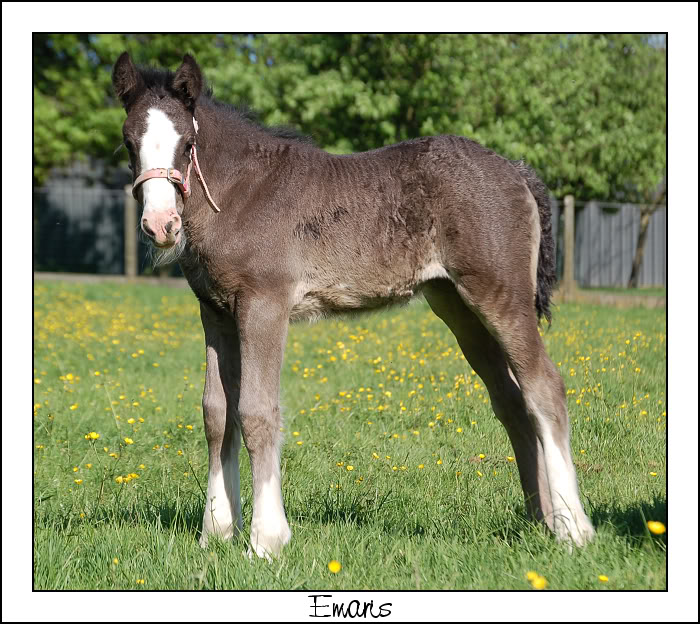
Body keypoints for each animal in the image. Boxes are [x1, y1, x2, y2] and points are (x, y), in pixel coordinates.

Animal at [112, 52, 592, 556]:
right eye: (129, 142)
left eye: (187, 144)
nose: (161, 224)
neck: (240, 192)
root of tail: (517, 170)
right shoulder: (216, 312)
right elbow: (216, 413)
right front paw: (216, 532)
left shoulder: (264, 304)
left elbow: (257, 411)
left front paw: (266, 539)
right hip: (459, 307)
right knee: (512, 403)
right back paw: (541, 521)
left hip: (502, 295)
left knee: (544, 388)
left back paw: (573, 528)